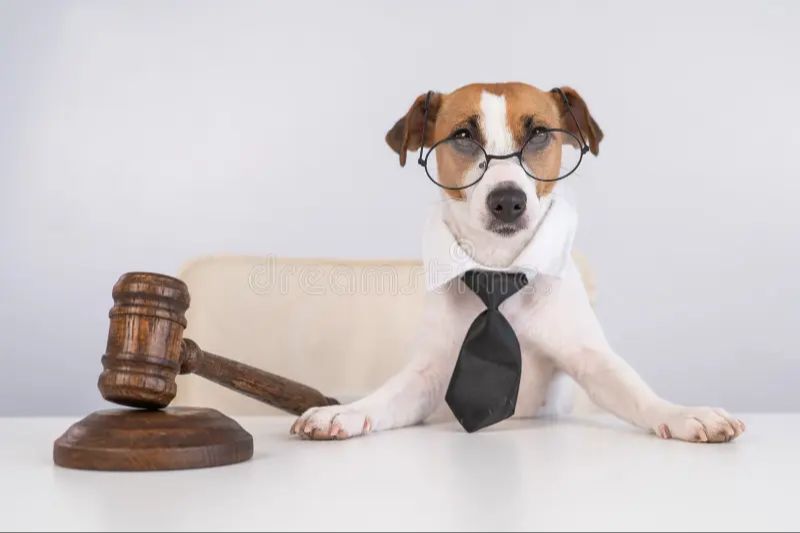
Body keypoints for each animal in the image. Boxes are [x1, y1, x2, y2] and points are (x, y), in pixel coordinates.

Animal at [290, 81, 748, 442]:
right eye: (463, 135)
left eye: (540, 134)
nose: (508, 200)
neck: (500, 266)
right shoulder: (430, 374)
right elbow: (387, 396)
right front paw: (344, 411)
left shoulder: (588, 358)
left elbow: (635, 391)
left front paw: (684, 414)